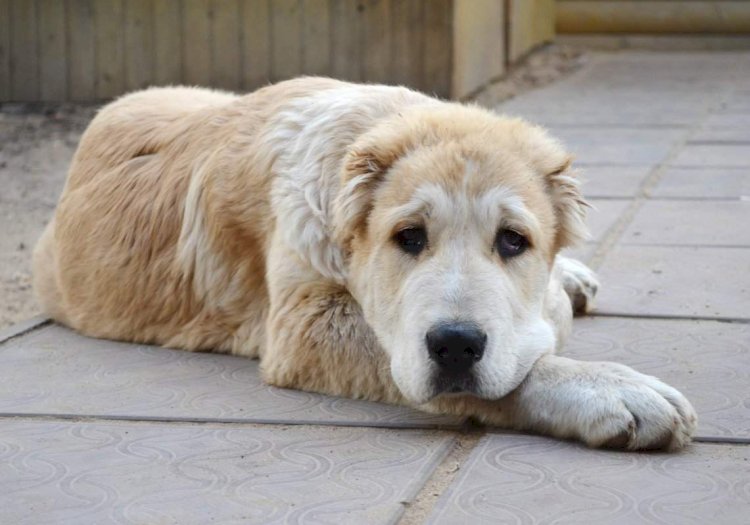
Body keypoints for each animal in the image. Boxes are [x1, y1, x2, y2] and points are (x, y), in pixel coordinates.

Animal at [32, 75, 696, 448]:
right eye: (408, 237)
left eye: (513, 241)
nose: (455, 345)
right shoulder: (302, 325)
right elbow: (517, 364)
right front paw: (609, 389)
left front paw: (560, 292)